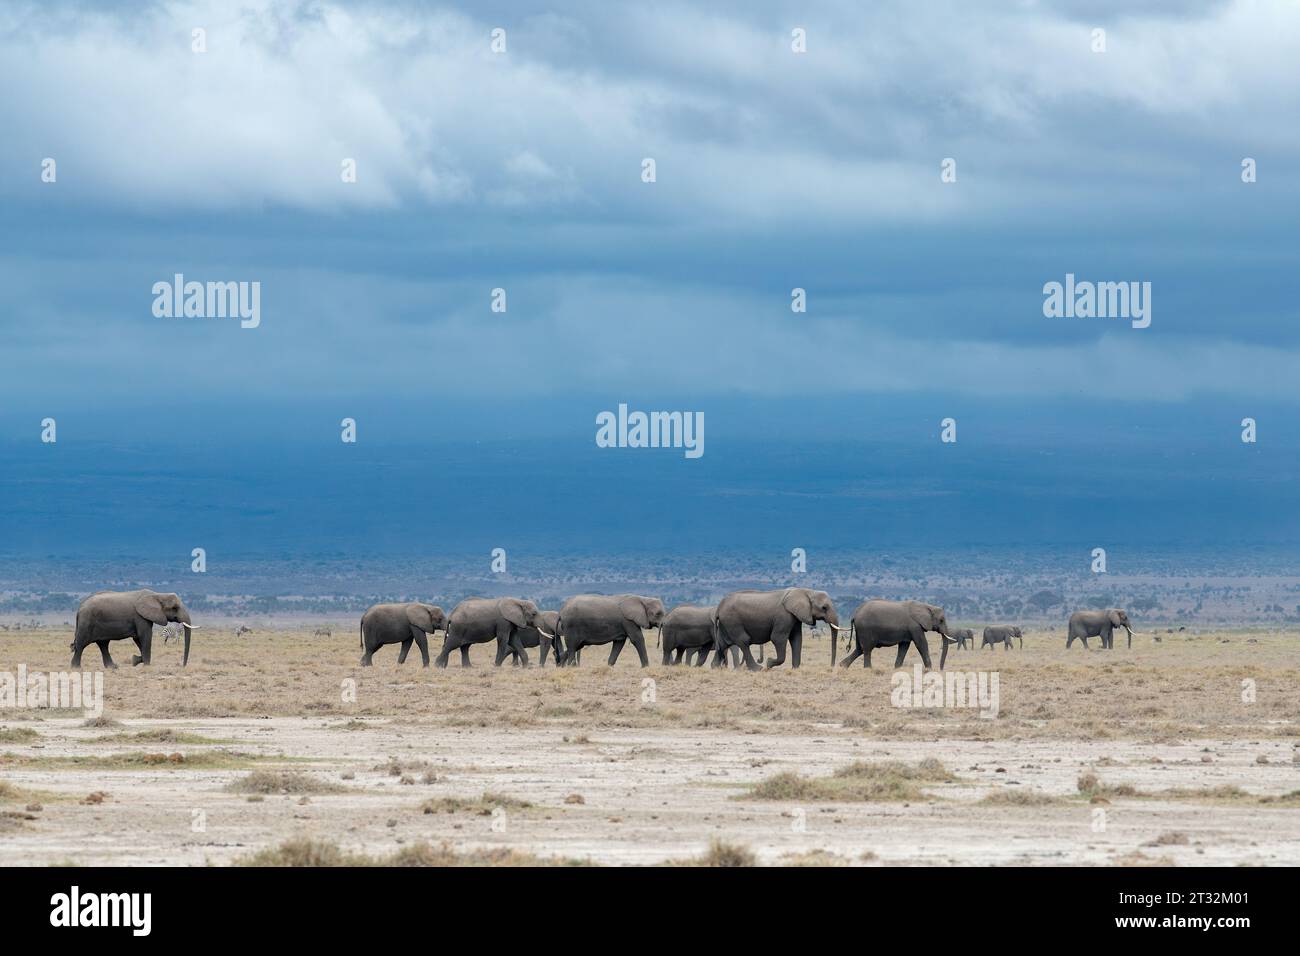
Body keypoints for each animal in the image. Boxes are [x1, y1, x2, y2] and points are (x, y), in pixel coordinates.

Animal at [717, 582, 847, 671]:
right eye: (824, 607)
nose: (832, 666)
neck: (806, 591)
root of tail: (719, 606)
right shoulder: (783, 616)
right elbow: (778, 638)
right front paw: (769, 663)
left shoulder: (795, 616)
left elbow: (796, 639)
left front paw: (795, 669)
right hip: (732, 621)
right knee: (743, 641)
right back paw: (758, 668)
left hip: (725, 624)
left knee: (722, 644)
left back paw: (716, 667)